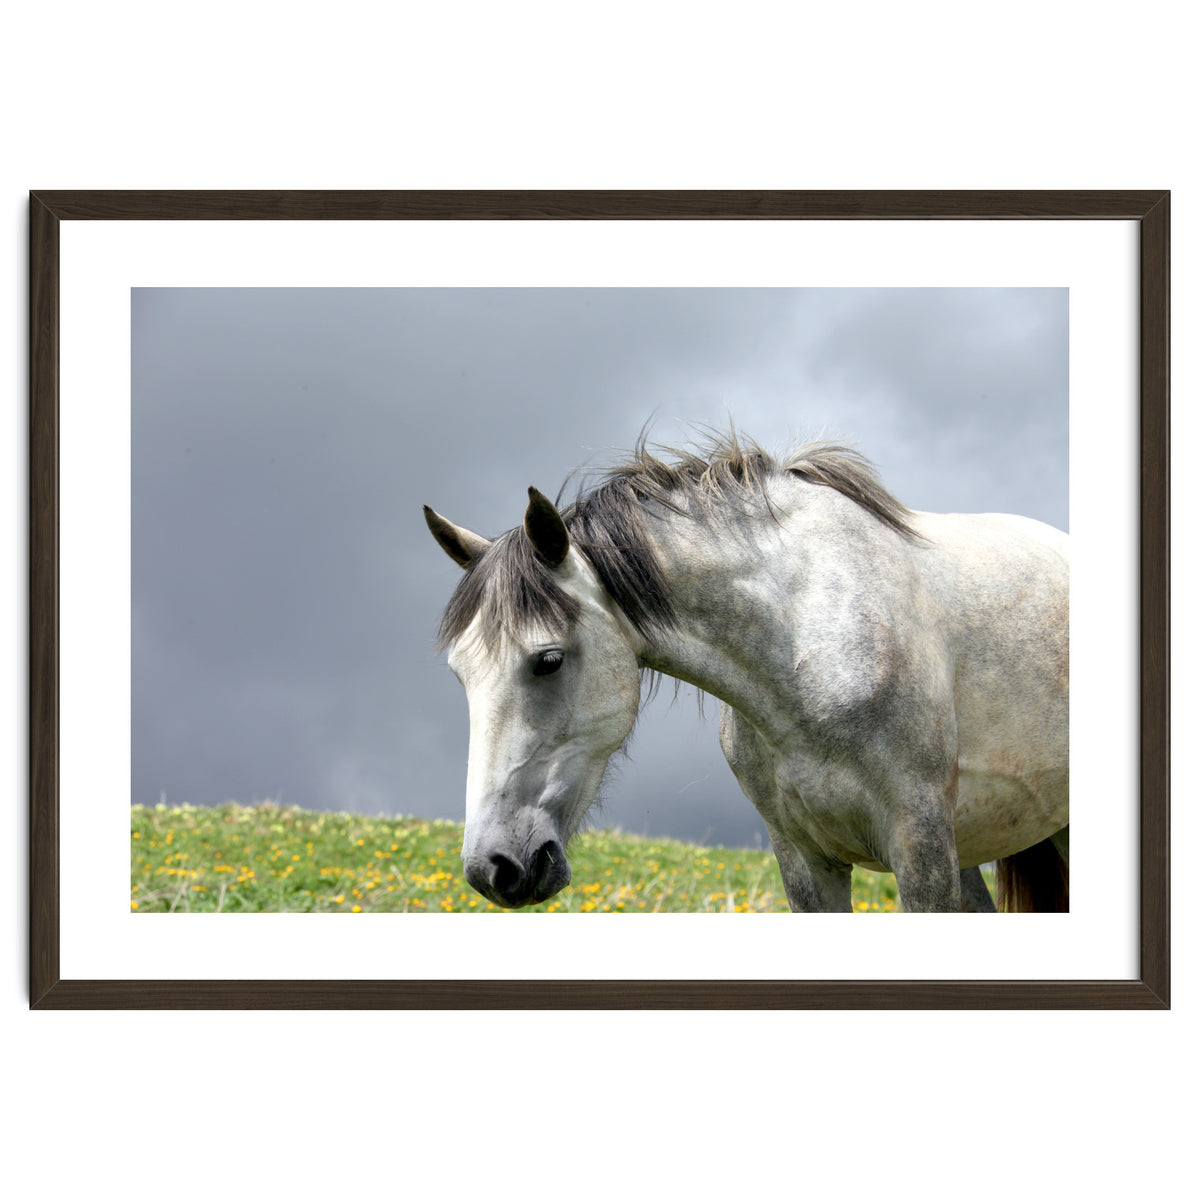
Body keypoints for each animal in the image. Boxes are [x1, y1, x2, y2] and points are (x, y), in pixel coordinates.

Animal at [424, 432, 1069, 913]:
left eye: (548, 660)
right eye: (459, 675)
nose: (493, 868)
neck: (807, 644)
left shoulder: (921, 847)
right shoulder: (805, 861)